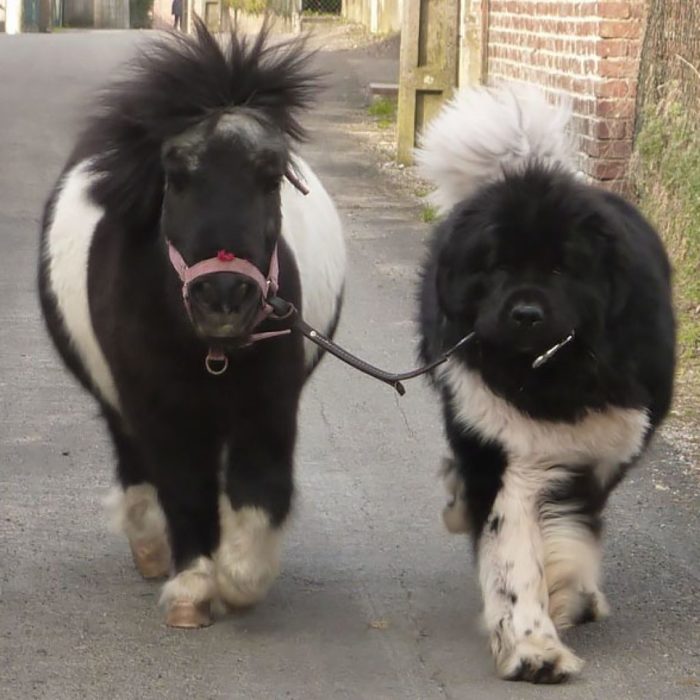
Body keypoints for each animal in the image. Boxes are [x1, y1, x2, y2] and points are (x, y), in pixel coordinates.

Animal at [38, 23, 344, 628]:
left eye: (270, 176)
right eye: (176, 177)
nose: (223, 297)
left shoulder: (268, 407)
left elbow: (259, 489)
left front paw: (238, 580)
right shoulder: (159, 407)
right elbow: (183, 489)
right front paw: (193, 589)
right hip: (119, 402)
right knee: (137, 466)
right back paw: (152, 550)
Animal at [418, 87, 676, 684]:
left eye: (562, 269)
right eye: (495, 266)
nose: (526, 314)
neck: (552, 376)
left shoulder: (601, 447)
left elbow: (570, 532)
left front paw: (566, 596)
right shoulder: (506, 449)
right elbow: (513, 554)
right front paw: (534, 648)